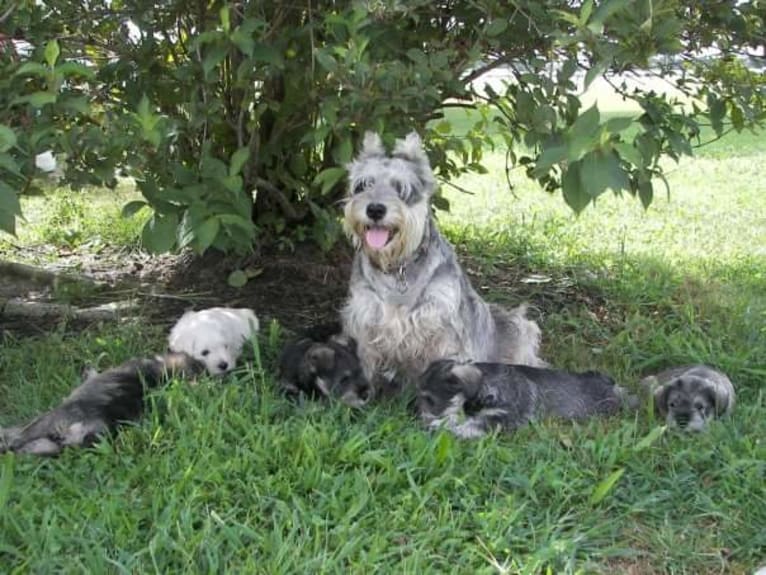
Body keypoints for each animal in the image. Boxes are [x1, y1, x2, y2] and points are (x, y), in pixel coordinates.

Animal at [342, 132, 544, 398]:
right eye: (363, 185)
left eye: (401, 188)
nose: (375, 209)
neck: (398, 267)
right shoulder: (365, 318)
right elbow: (365, 361)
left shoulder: (441, 327)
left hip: (519, 327)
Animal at [416, 360, 640, 440]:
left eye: (430, 399)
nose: (419, 420)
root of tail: (611, 384)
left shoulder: (501, 419)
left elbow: (471, 425)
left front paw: (439, 425)